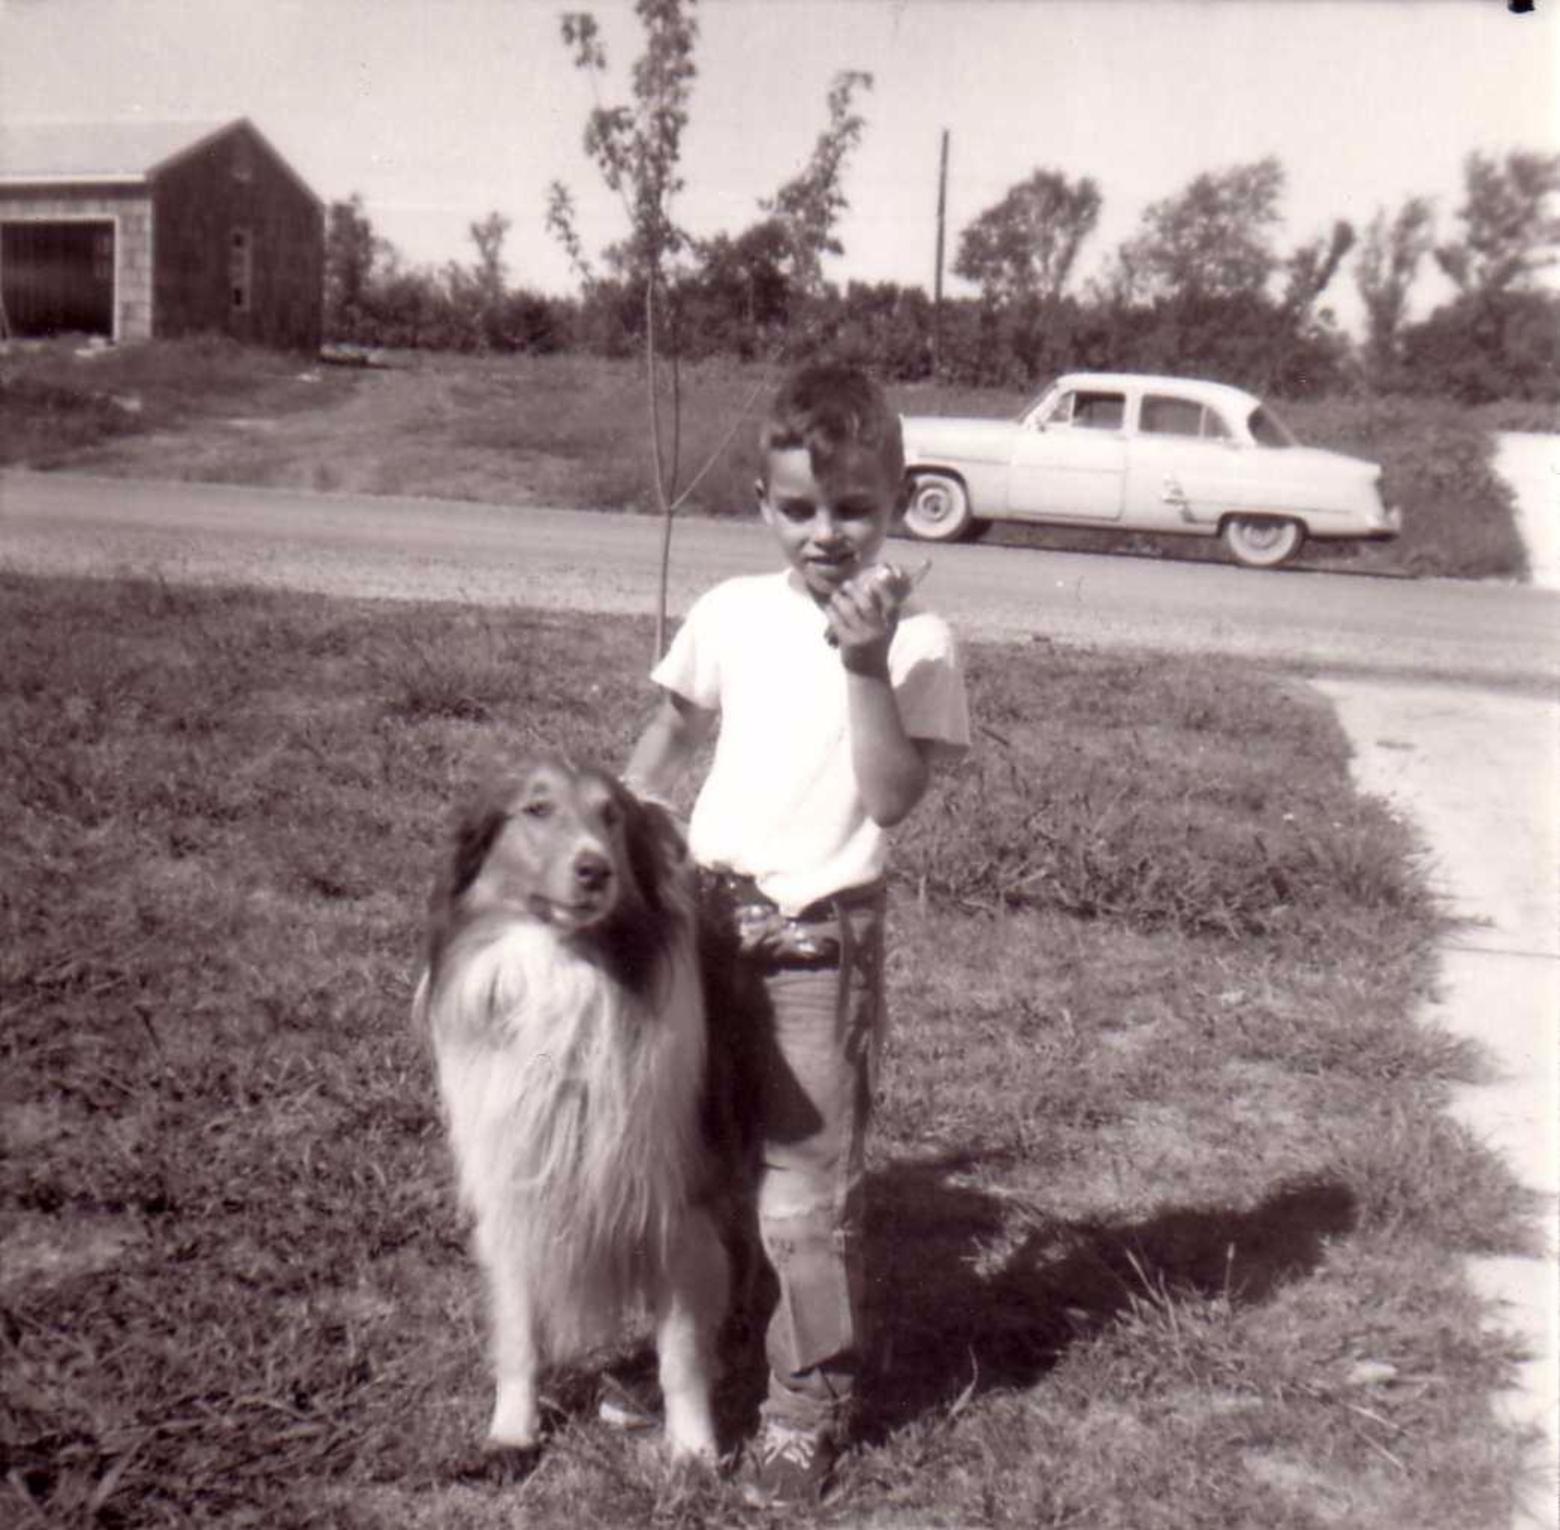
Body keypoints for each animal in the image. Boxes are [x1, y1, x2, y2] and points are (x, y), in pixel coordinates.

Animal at [414, 761, 730, 1459]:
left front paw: (693, 1452)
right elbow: (518, 1335)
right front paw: (512, 1432)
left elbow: (681, 1348)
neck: (560, 964)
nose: (595, 870)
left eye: (610, 815)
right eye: (536, 809)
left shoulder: (673, 1197)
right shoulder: (513, 1186)